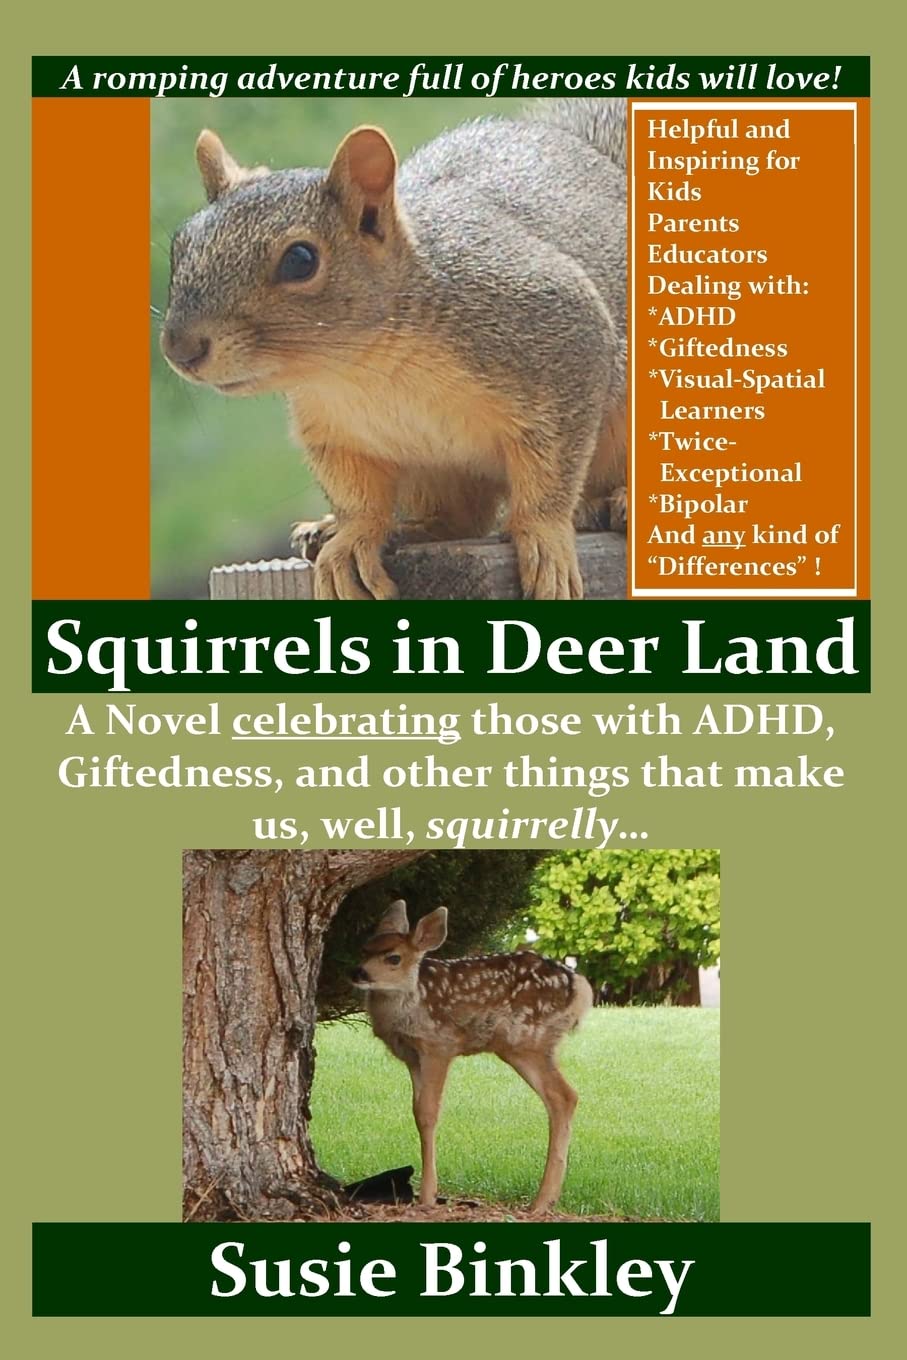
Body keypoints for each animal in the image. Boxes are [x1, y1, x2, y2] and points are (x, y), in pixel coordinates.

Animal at [162, 99, 627, 601]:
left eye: (300, 260)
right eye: (180, 245)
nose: (179, 348)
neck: (365, 370)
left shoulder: (564, 342)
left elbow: (550, 476)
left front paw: (545, 539)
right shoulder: (334, 431)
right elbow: (357, 496)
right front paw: (351, 537)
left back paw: (617, 502)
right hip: (435, 472)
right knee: (459, 519)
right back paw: (382, 528)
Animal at [350, 899, 593, 1214]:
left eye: (393, 958)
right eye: (364, 949)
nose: (358, 973)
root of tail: (580, 987)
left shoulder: (438, 1044)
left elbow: (427, 1113)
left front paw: (427, 1197)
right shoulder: (412, 1056)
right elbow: (416, 1111)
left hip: (526, 1040)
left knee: (563, 1096)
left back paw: (540, 1203)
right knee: (566, 1097)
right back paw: (546, 1199)